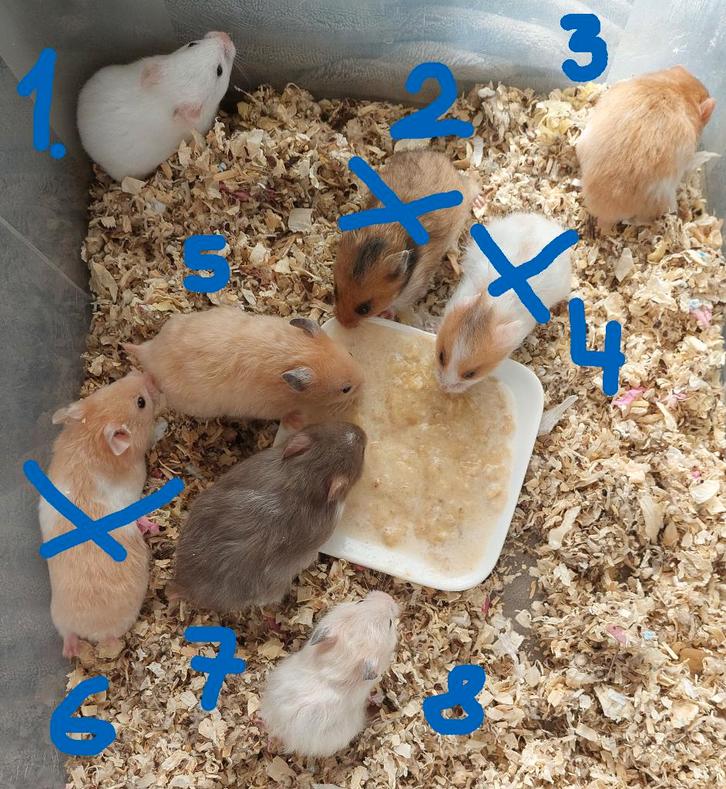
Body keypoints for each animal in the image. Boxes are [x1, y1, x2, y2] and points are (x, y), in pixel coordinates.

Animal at [40, 371, 159, 657]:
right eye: (141, 402)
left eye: (109, 385)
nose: (146, 374)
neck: (91, 434)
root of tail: (90, 632)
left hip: (58, 619)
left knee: (67, 638)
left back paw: (71, 650)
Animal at [123, 307, 363, 428]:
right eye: (346, 389)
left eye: (351, 354)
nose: (365, 382)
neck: (296, 353)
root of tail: (149, 351)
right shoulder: (271, 408)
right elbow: (287, 416)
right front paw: (298, 421)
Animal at [334, 150, 478, 327]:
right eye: (335, 291)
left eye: (364, 308)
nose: (341, 323)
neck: (383, 236)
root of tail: (443, 158)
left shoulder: (415, 286)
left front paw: (387, 314)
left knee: (473, 185)